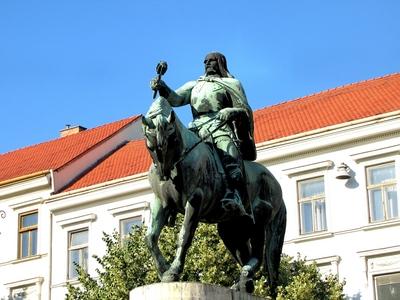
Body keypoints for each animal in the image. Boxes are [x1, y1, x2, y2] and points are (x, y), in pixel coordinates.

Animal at [142, 98, 286, 296]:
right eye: (150, 146)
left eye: (172, 140)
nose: (164, 174)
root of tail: (275, 183)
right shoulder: (161, 203)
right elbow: (150, 237)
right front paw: (162, 269)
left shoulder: (195, 201)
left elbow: (184, 235)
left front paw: (173, 271)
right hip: (232, 229)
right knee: (244, 254)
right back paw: (242, 284)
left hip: (258, 221)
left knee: (258, 256)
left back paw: (246, 275)